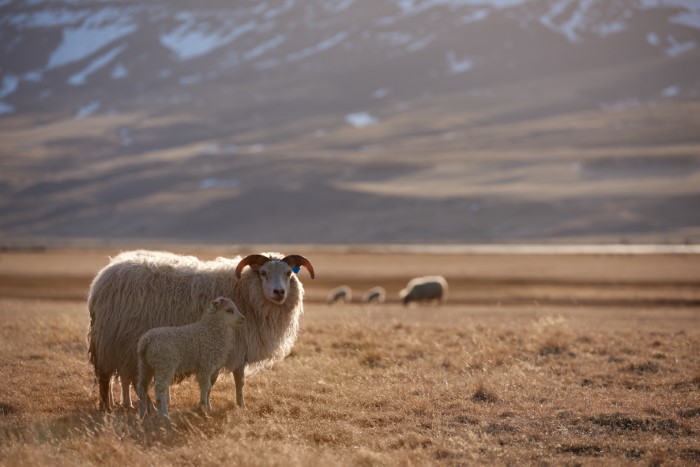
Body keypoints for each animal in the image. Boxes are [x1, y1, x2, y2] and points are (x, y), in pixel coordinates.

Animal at [87, 250, 314, 412]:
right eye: (263, 273)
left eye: (288, 273)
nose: (279, 292)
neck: (245, 292)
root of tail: (102, 279)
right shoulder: (224, 348)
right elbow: (217, 380)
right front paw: (207, 405)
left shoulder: (237, 349)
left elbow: (238, 380)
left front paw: (239, 405)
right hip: (116, 341)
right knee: (111, 377)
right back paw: (114, 407)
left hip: (124, 347)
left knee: (125, 378)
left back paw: (127, 405)